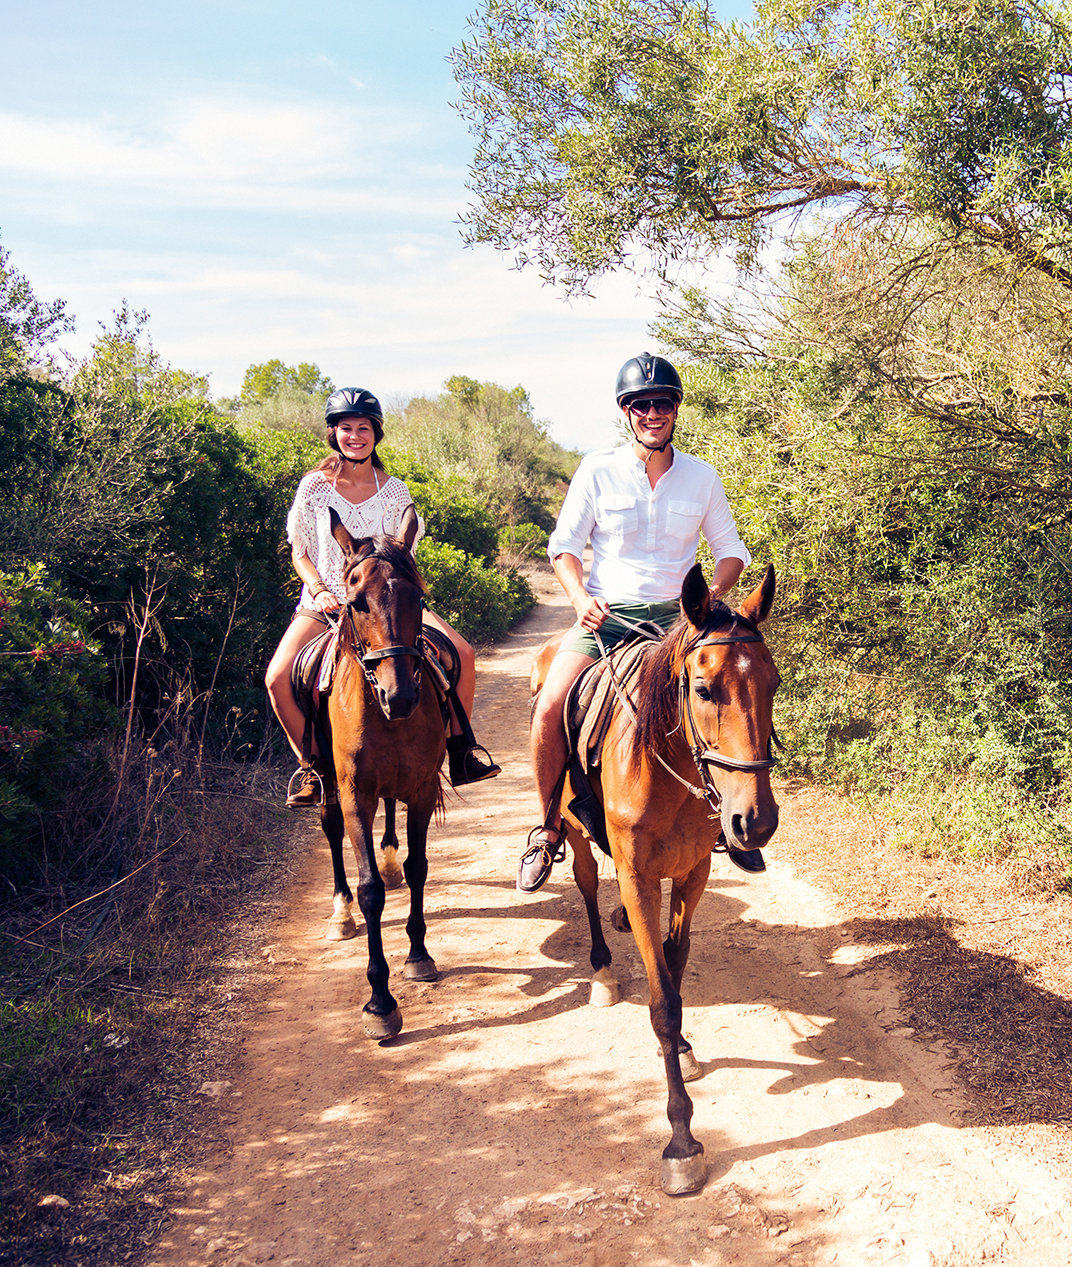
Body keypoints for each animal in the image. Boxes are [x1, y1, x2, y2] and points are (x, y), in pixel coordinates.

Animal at [537, 567, 780, 1196]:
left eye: (773, 684)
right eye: (704, 690)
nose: (755, 822)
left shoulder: (693, 872)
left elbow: (673, 964)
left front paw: (685, 1048)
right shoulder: (640, 877)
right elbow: (662, 1000)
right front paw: (681, 1141)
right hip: (574, 831)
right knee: (586, 882)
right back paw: (601, 970)